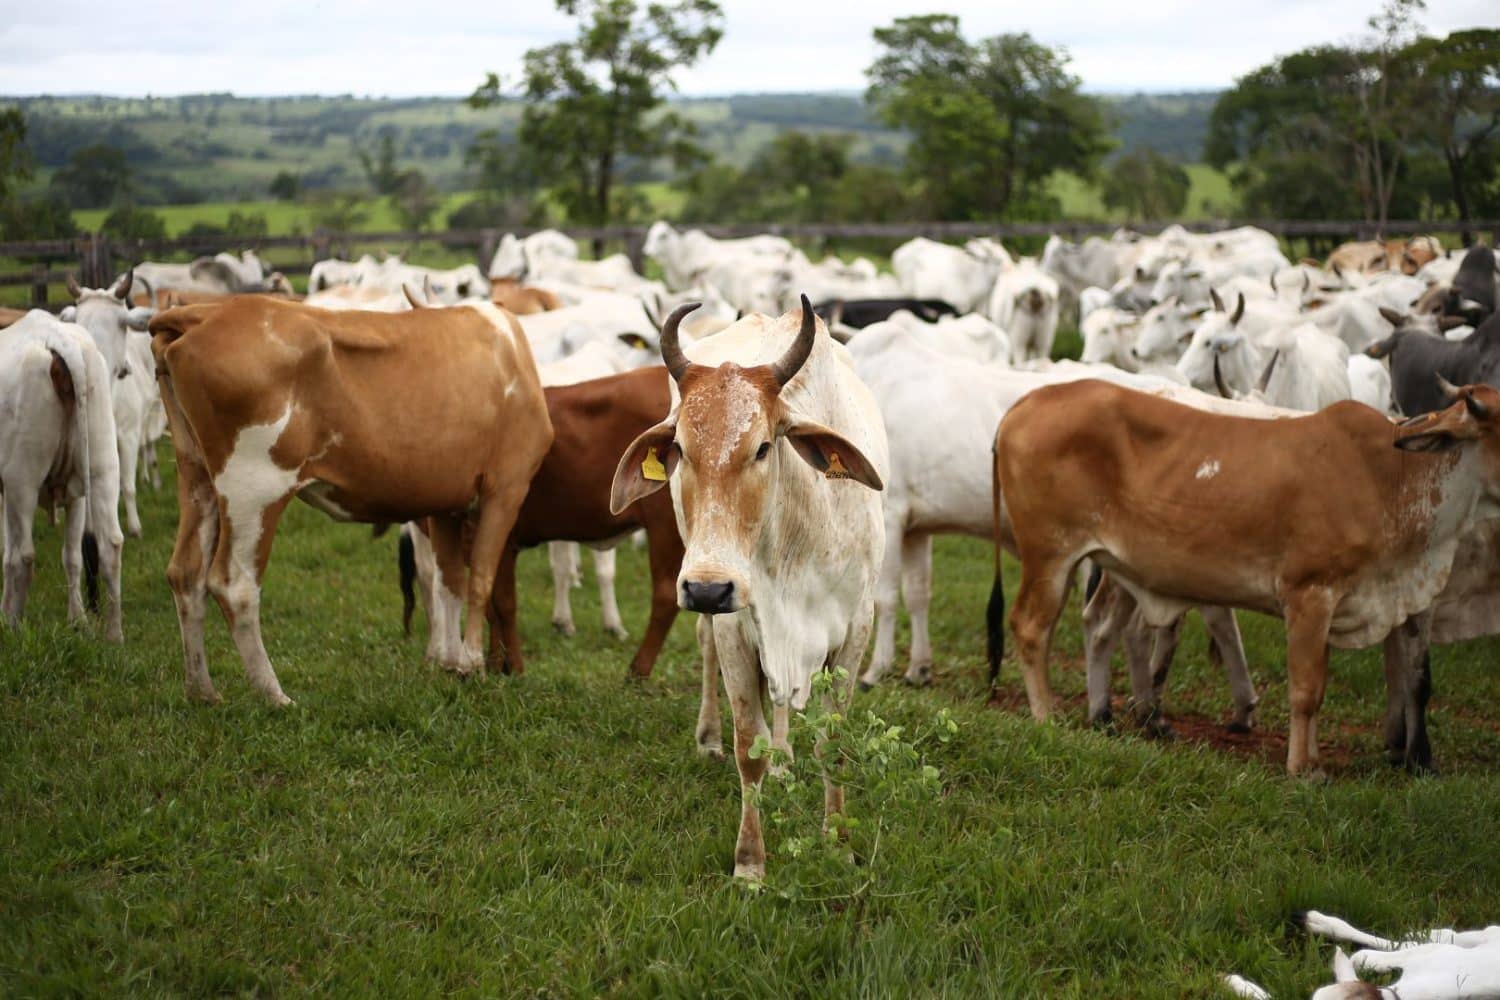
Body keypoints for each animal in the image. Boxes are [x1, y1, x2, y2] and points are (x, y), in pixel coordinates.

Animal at [0, 311, 123, 640]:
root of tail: (58, 338)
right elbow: (73, 556)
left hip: (22, 481)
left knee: (23, 555)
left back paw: (12, 627)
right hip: (101, 467)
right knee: (108, 546)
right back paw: (110, 634)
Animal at [149, 296, 553, 705]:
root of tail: (207, 312)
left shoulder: (446, 504)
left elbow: (449, 582)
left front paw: (452, 664)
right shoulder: (507, 487)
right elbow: (481, 580)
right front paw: (473, 665)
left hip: (196, 475)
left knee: (185, 574)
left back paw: (202, 691)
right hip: (253, 487)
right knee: (235, 585)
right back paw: (275, 696)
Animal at [609, 297, 887, 880]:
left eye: (762, 447)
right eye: (680, 448)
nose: (707, 590)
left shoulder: (856, 627)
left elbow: (834, 742)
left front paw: (838, 843)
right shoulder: (736, 625)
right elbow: (748, 747)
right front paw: (750, 864)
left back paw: (785, 762)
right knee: (708, 653)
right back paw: (709, 737)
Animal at [992, 377, 1500, 774]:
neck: (1393, 478)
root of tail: (1026, 403)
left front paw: (1316, 760)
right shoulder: (1309, 593)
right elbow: (1306, 690)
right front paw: (1302, 769)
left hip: (1102, 562)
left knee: (1089, 627)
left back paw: (1101, 716)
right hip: (1050, 555)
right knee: (1031, 627)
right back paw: (1046, 716)